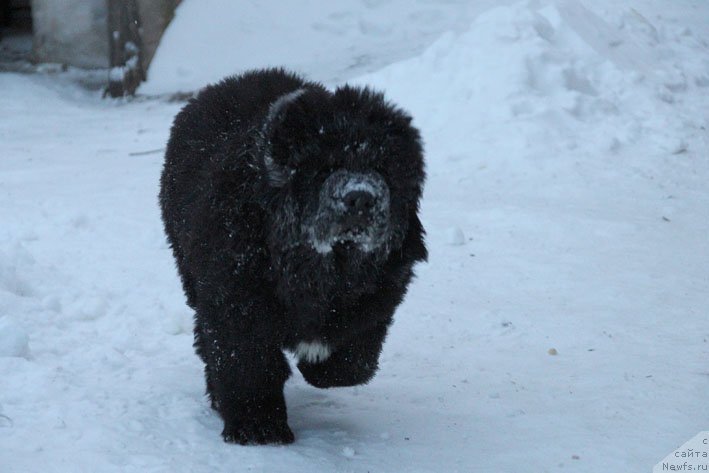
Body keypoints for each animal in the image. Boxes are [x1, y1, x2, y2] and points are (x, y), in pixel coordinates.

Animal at [159, 68, 426, 444]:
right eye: (325, 168)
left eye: (383, 170)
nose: (361, 197)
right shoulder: (237, 301)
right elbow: (247, 364)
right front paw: (258, 427)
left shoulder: (381, 293)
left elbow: (352, 359)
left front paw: (316, 364)